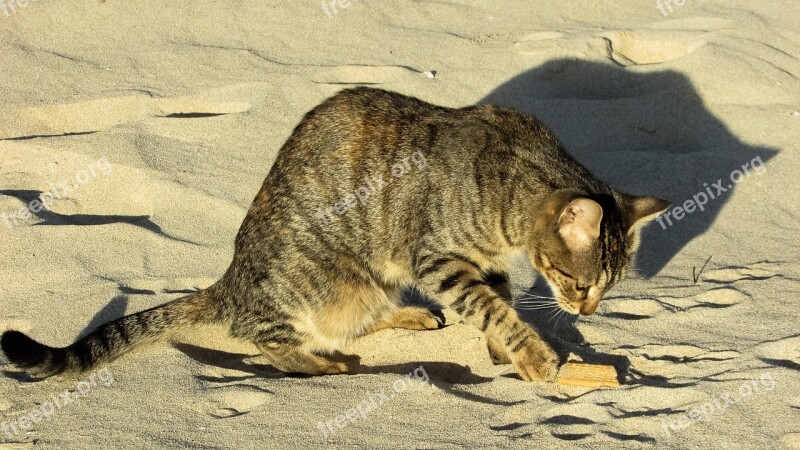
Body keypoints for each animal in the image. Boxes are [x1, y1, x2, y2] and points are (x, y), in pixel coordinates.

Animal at [0, 88, 668, 384]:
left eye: (607, 288)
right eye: (577, 282)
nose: (588, 309)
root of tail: (231, 282)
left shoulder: (480, 263)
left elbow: (494, 304)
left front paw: (506, 351)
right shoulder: (437, 259)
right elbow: (494, 308)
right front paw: (531, 353)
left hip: (368, 285)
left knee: (357, 319)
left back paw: (406, 319)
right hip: (322, 281)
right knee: (268, 339)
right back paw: (324, 364)